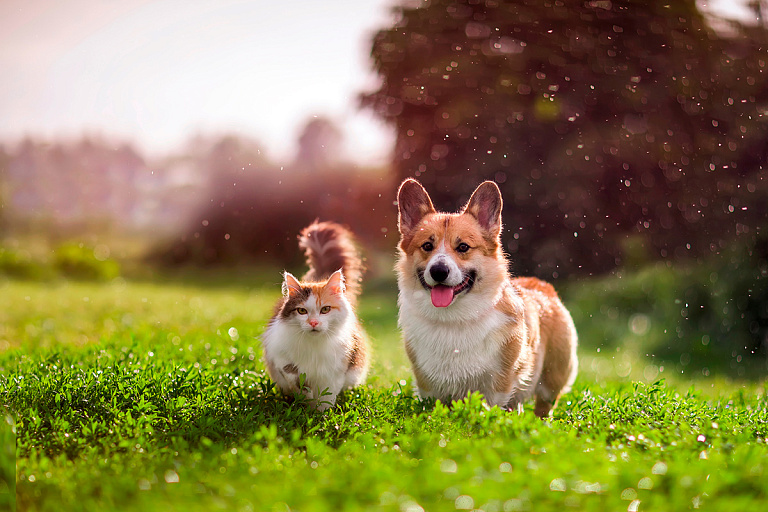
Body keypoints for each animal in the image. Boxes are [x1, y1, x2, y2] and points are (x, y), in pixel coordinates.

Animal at [260, 221, 372, 412]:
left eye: (325, 309)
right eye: (302, 311)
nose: (313, 322)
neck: (314, 346)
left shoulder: (336, 370)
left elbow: (327, 396)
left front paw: (320, 414)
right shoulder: (278, 355)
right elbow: (294, 376)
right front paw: (306, 400)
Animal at [396, 179, 576, 416]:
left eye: (463, 247)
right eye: (427, 246)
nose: (438, 271)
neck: (453, 319)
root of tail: (542, 285)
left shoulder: (499, 384)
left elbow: (492, 408)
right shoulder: (427, 386)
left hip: (551, 380)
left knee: (543, 406)